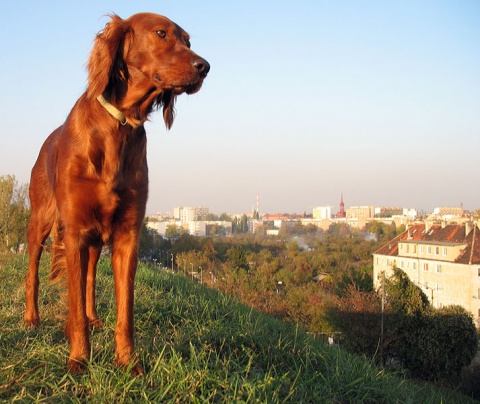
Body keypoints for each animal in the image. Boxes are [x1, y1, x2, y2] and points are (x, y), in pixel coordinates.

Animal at [23, 11, 208, 374]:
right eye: (161, 33)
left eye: (188, 41)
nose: (204, 66)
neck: (118, 125)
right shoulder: (75, 231)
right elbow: (73, 303)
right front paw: (78, 359)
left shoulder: (126, 235)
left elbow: (125, 310)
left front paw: (128, 362)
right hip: (42, 220)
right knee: (33, 271)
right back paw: (31, 318)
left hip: (96, 241)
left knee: (91, 278)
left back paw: (94, 318)